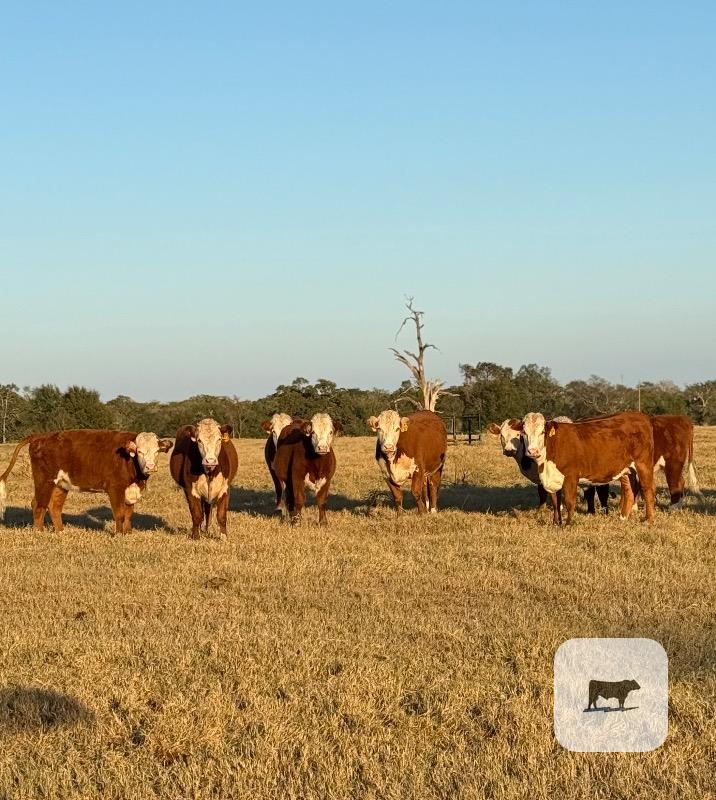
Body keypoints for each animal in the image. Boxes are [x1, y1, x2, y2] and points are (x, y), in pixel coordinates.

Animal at [0, 429, 172, 532]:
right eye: (140, 452)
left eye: (157, 451)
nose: (150, 466)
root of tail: (40, 436)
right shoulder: (115, 488)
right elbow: (120, 513)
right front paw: (119, 535)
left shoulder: (131, 490)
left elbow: (129, 514)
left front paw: (128, 533)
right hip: (44, 480)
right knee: (38, 504)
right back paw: (39, 532)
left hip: (61, 484)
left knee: (54, 506)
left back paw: (60, 531)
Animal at [519, 411, 656, 524]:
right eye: (524, 433)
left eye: (542, 432)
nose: (532, 451)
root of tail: (638, 415)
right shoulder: (552, 478)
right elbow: (555, 503)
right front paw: (556, 523)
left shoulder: (571, 477)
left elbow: (569, 501)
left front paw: (567, 524)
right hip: (626, 469)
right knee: (629, 491)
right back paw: (623, 517)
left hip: (643, 465)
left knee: (648, 489)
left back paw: (649, 520)